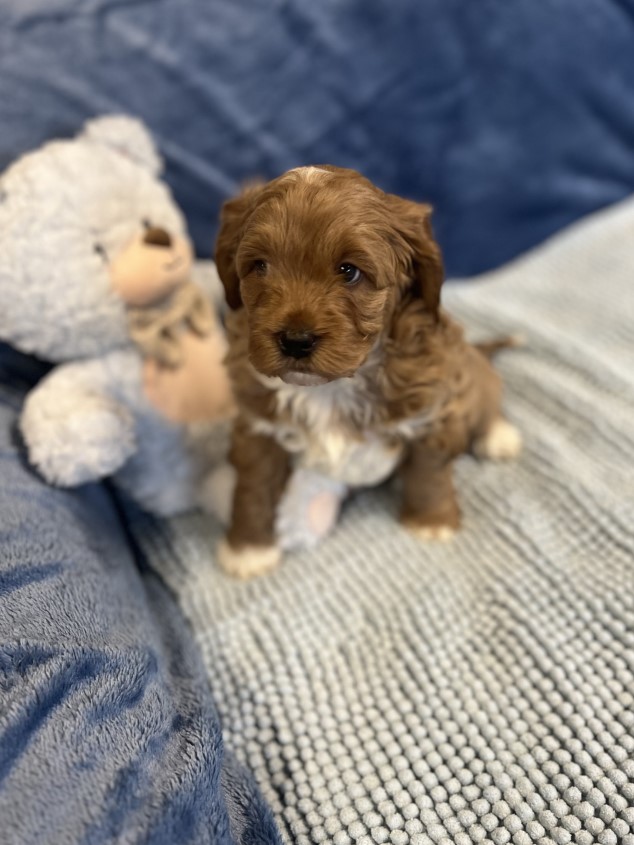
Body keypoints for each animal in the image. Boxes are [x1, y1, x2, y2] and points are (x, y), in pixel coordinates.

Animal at [212, 165, 520, 576]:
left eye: (349, 272)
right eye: (259, 266)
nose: (296, 340)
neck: (332, 387)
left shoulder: (431, 408)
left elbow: (430, 471)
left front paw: (432, 522)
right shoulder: (257, 427)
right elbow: (253, 487)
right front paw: (249, 549)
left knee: (487, 394)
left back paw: (499, 435)